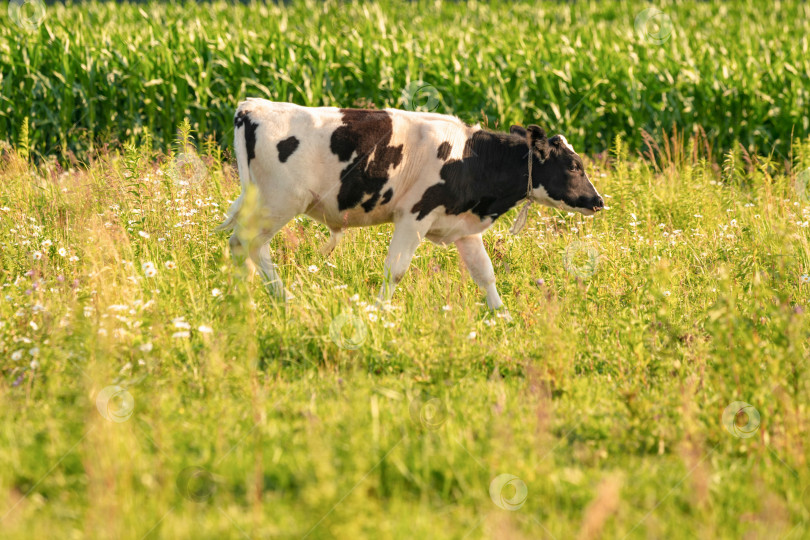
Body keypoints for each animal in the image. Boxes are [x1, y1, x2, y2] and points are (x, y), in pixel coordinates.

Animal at [218, 97, 604, 312]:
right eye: (574, 166)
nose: (599, 201)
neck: (471, 158)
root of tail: (254, 106)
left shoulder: (464, 226)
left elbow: (485, 273)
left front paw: (502, 317)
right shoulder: (414, 216)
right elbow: (396, 270)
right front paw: (378, 313)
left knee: (246, 249)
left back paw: (247, 299)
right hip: (279, 202)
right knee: (246, 245)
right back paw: (275, 299)